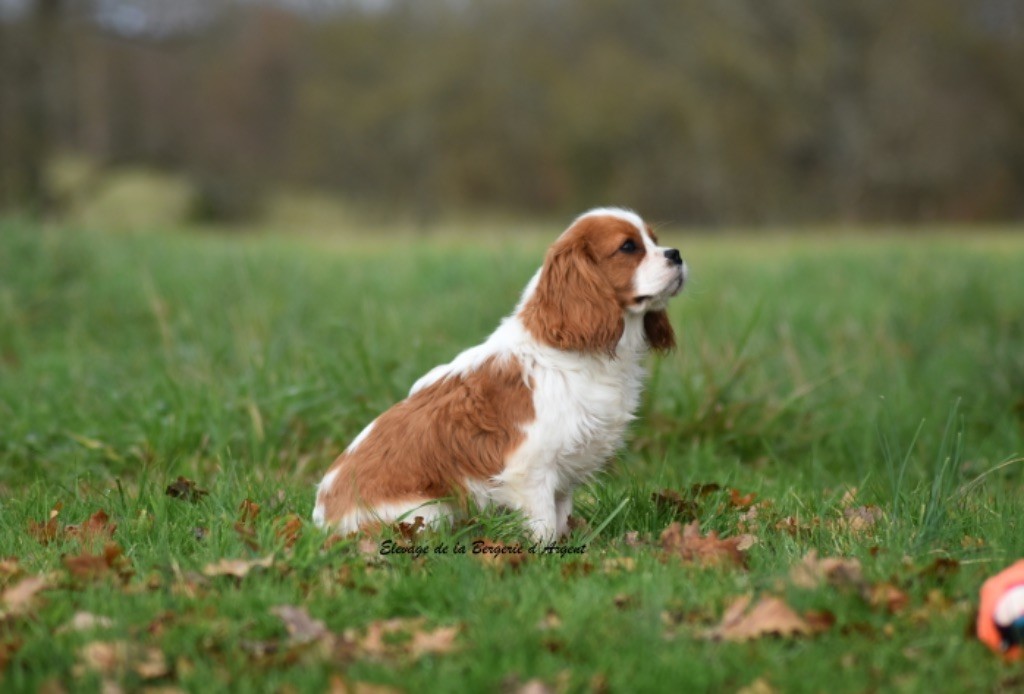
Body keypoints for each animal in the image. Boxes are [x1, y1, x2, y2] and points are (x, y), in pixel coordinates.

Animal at [307, 209, 684, 540]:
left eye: (655, 240)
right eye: (629, 247)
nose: (676, 253)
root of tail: (324, 518)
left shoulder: (562, 477)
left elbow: (561, 516)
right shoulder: (530, 470)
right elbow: (544, 526)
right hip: (431, 510)